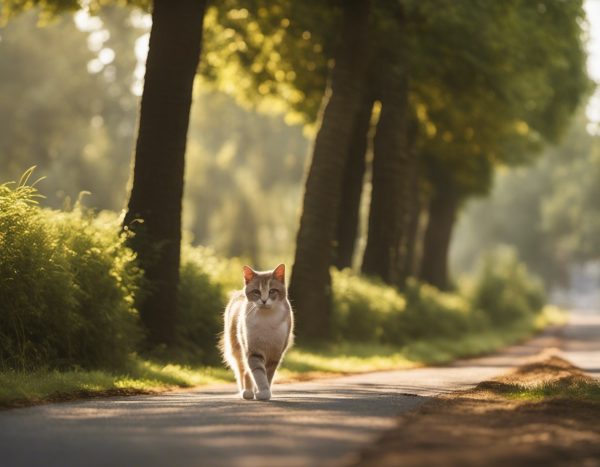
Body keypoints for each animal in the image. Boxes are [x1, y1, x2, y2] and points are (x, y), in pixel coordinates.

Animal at [221, 266, 294, 400]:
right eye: (256, 292)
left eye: (272, 291)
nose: (264, 300)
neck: (266, 319)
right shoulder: (253, 351)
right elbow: (258, 373)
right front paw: (263, 392)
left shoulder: (275, 354)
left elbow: (268, 375)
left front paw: (264, 391)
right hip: (237, 347)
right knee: (244, 370)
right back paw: (247, 392)